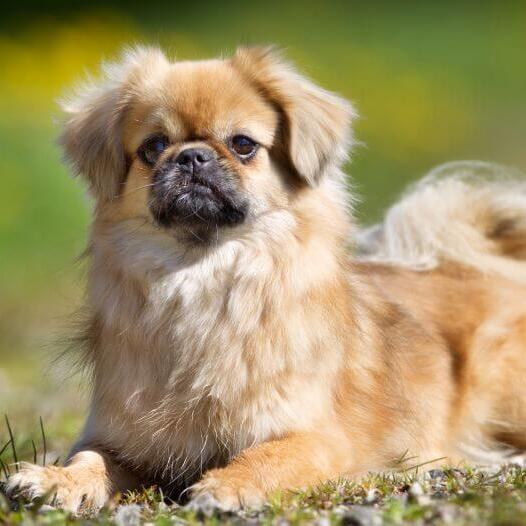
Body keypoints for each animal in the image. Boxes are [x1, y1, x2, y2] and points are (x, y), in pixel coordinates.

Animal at [6, 46, 526, 516]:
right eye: (153, 148)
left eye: (242, 144)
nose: (191, 157)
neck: (202, 276)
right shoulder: (118, 437)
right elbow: (89, 459)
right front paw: (53, 481)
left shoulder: (315, 436)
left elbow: (268, 455)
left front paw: (228, 486)